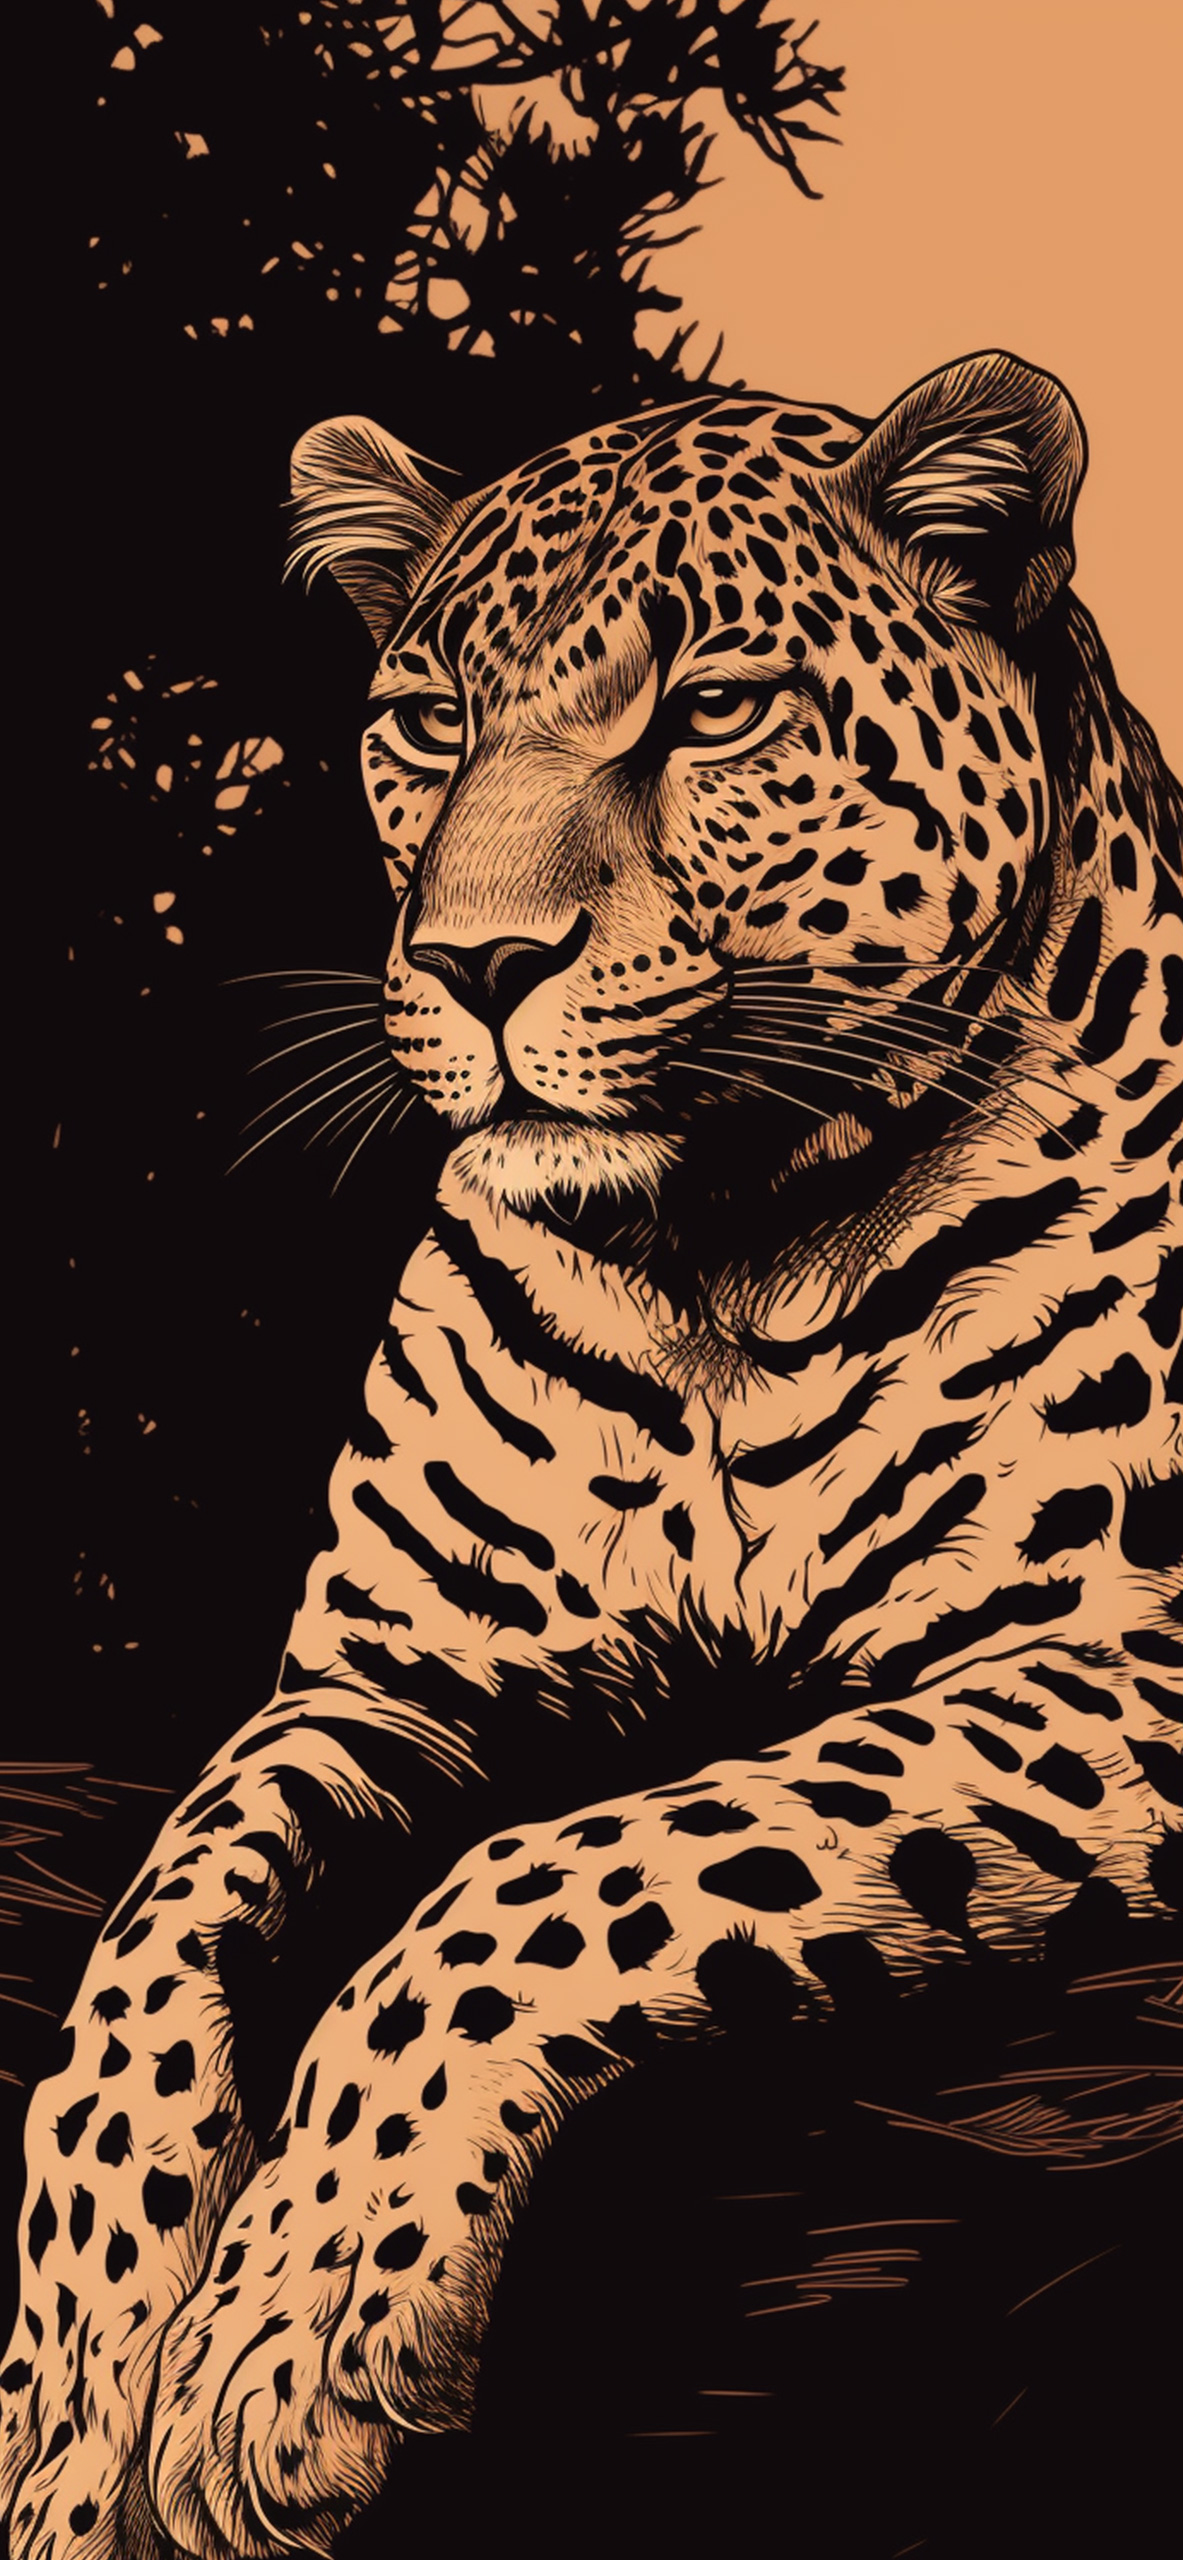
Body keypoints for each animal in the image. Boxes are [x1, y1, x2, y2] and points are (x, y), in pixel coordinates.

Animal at [3, 349, 1181, 2560]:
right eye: (426, 722)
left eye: (708, 708)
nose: (477, 965)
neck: (723, 1257)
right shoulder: (382, 1679)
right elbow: (154, 1934)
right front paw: (76, 2386)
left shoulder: (1124, 1650)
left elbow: (562, 1871)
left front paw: (292, 2330)